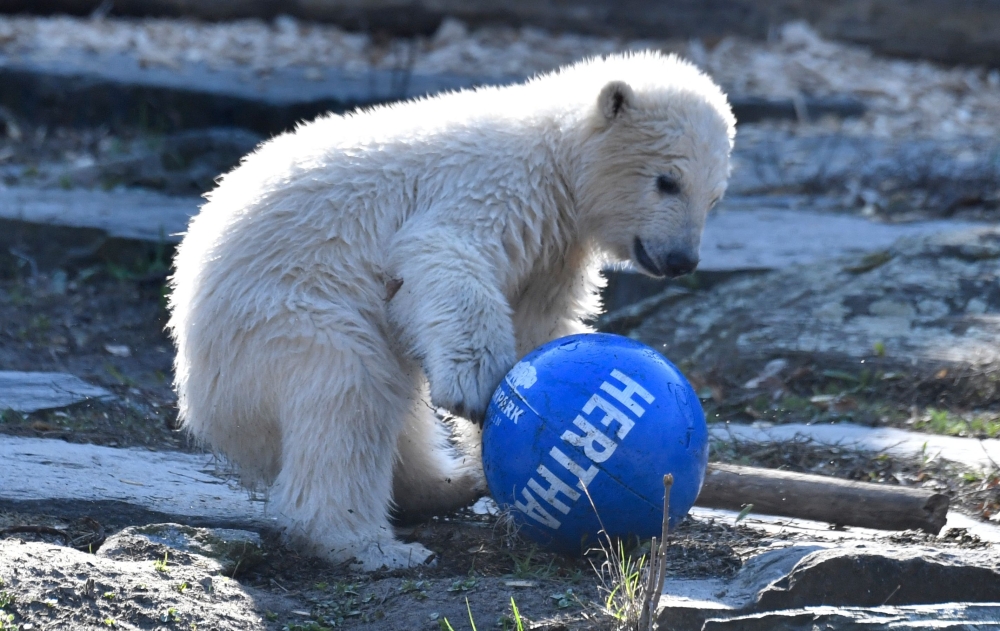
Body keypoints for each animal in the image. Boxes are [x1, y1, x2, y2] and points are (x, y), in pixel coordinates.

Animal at [167, 51, 735, 571]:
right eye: (667, 181)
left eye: (713, 198)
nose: (682, 260)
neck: (554, 156)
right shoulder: (494, 188)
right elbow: (440, 252)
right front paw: (479, 387)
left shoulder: (554, 252)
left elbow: (537, 324)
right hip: (288, 311)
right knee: (348, 391)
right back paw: (368, 544)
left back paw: (447, 484)